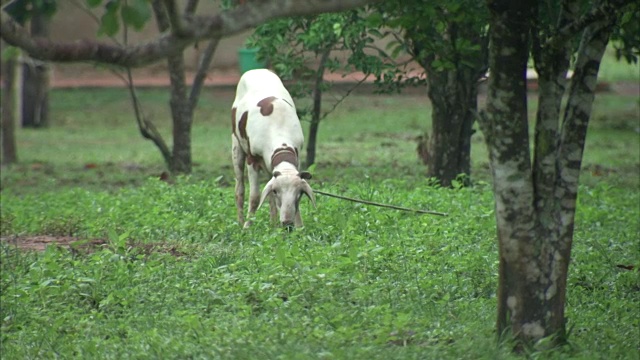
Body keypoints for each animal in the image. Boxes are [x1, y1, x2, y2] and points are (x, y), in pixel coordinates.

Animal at [232, 69, 318, 228]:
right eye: (277, 191)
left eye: (299, 193)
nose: (287, 223)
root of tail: (256, 70)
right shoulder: (252, 159)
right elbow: (255, 197)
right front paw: (247, 226)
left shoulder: (296, 156)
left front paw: (299, 226)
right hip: (236, 142)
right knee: (239, 187)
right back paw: (240, 222)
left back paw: (272, 223)